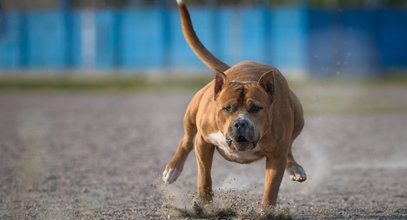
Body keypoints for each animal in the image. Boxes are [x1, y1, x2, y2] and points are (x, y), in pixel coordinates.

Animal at [163, 0, 306, 210]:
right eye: (227, 108)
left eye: (256, 108)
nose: (240, 123)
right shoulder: (203, 142)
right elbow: (204, 175)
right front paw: (204, 202)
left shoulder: (276, 155)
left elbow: (271, 187)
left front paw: (266, 211)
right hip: (191, 113)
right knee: (186, 141)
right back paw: (172, 169)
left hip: (298, 117)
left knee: (289, 146)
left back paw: (295, 168)